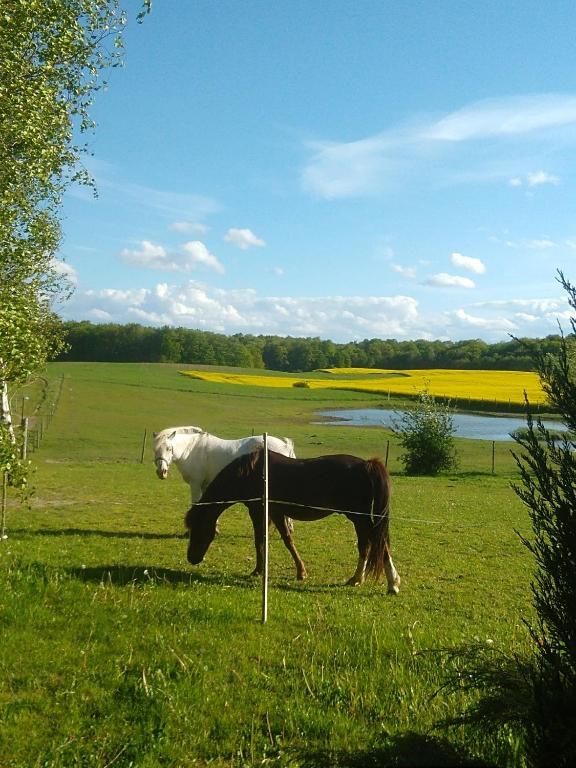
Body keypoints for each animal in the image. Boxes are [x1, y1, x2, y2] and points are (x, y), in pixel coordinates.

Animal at [153, 426, 296, 504]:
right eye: (155, 449)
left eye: (169, 449)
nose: (161, 472)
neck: (192, 449)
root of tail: (285, 445)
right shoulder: (205, 485)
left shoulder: (195, 484)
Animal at [184, 448, 400, 592]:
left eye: (199, 528)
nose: (192, 558)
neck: (252, 473)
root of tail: (367, 465)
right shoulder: (269, 513)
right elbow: (273, 540)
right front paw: (269, 570)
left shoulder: (263, 511)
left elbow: (271, 540)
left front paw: (271, 571)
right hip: (359, 519)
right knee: (369, 545)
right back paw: (362, 579)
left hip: (359, 518)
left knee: (375, 544)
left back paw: (388, 583)